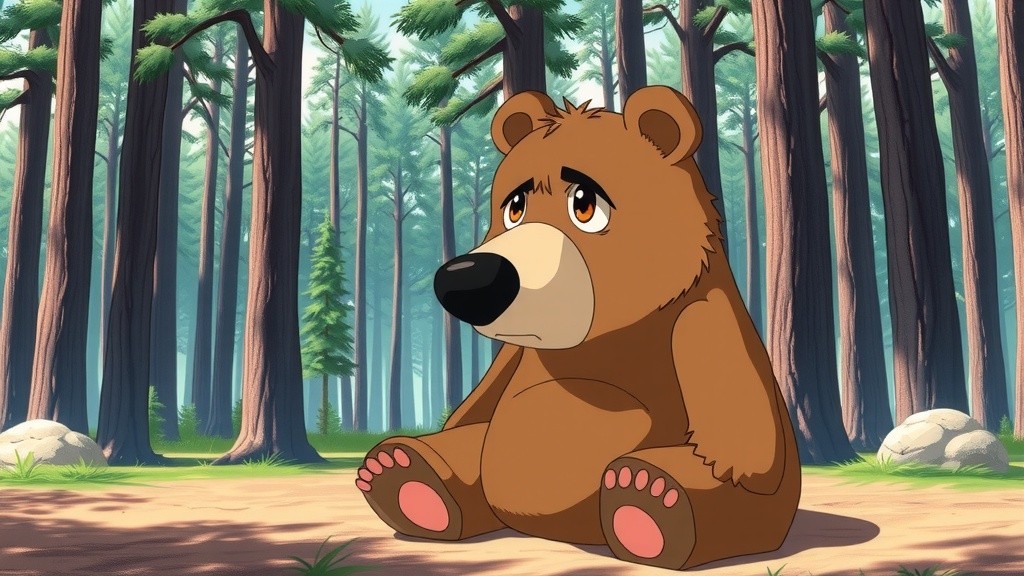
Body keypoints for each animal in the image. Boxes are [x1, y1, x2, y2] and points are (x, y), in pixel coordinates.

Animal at [355, 85, 801, 570]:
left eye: (584, 203)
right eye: (515, 207)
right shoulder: (519, 351)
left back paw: (648, 495)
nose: (466, 279)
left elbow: (734, 408)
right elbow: (484, 394)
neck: (590, 343)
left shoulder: (699, 312)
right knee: (471, 446)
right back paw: (404, 472)